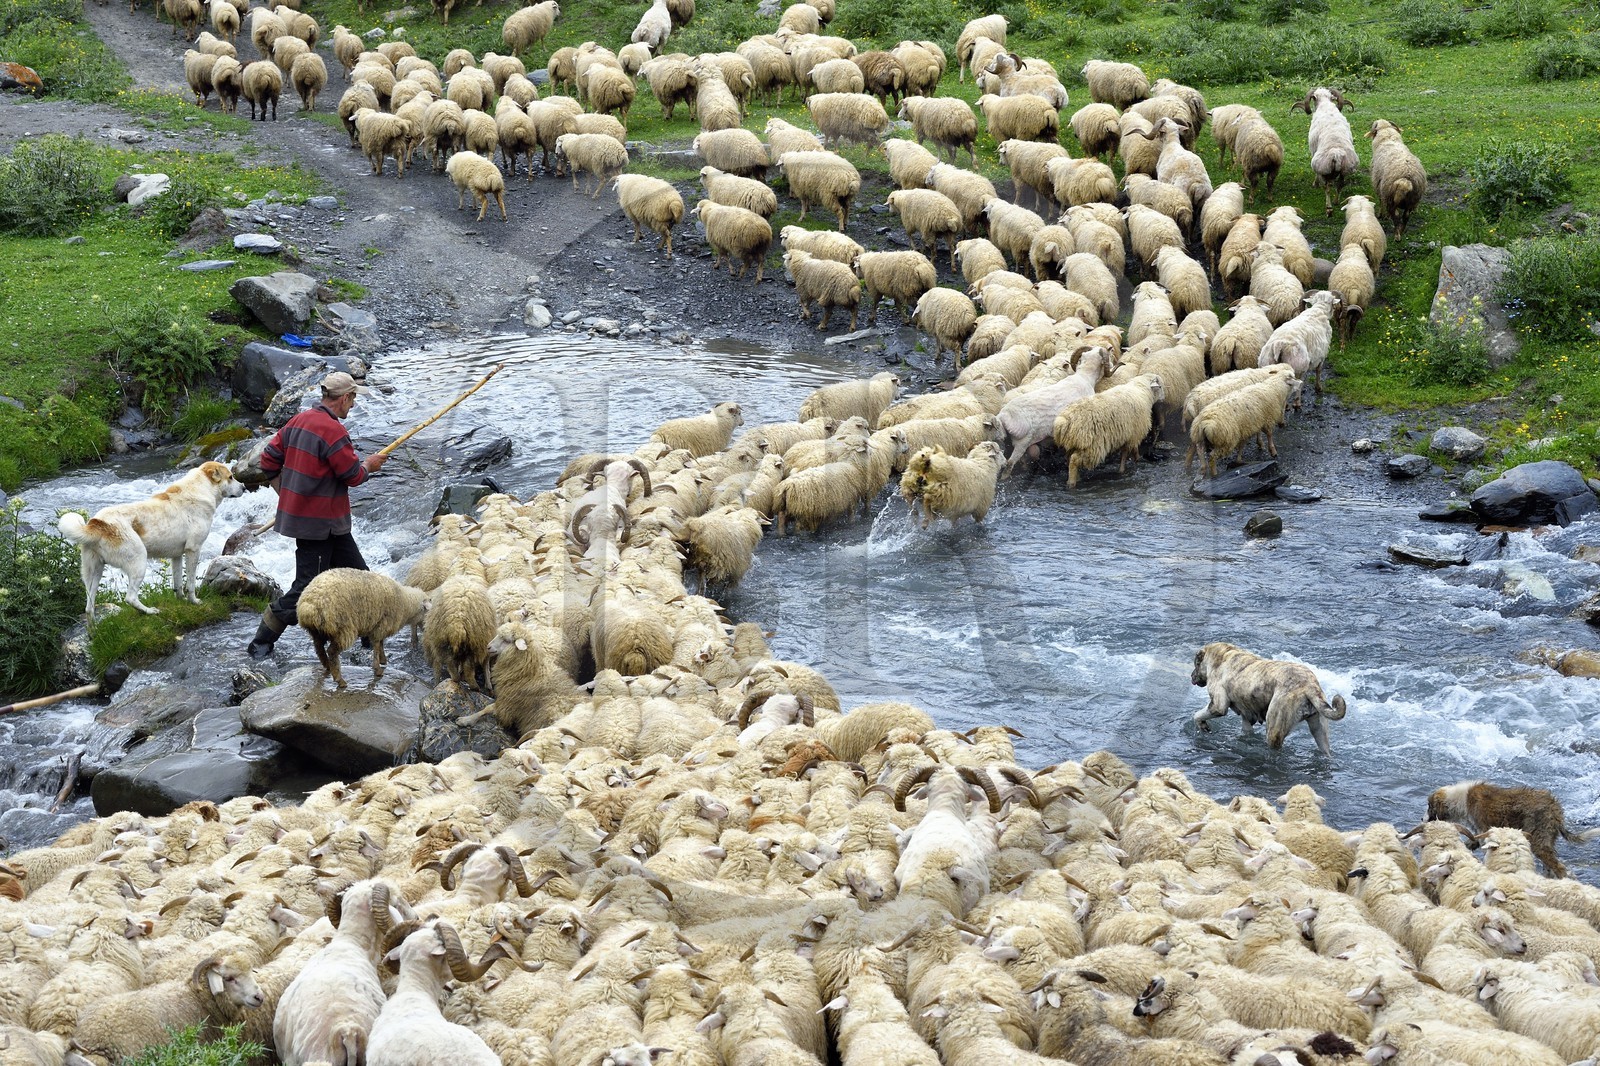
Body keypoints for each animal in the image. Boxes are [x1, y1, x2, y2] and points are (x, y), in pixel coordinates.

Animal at [296, 569, 427, 691]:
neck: (406, 604)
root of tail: (309, 606)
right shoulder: (381, 625)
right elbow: (377, 645)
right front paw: (378, 669)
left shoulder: (379, 626)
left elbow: (381, 644)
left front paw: (383, 660)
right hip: (343, 628)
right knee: (332, 651)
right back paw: (340, 680)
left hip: (318, 631)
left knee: (319, 649)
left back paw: (328, 667)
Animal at [1291, 86, 1358, 215]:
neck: (1326, 106)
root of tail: (1337, 155)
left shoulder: (1313, 150)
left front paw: (1315, 184)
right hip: (1346, 169)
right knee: (1340, 184)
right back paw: (1336, 201)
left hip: (1322, 168)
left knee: (1327, 187)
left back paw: (1329, 207)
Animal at [1428, 781, 1600, 880]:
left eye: (1429, 806)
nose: (1424, 819)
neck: (1461, 798)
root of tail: (1555, 808)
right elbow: (1470, 843)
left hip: (1538, 840)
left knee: (1560, 868)